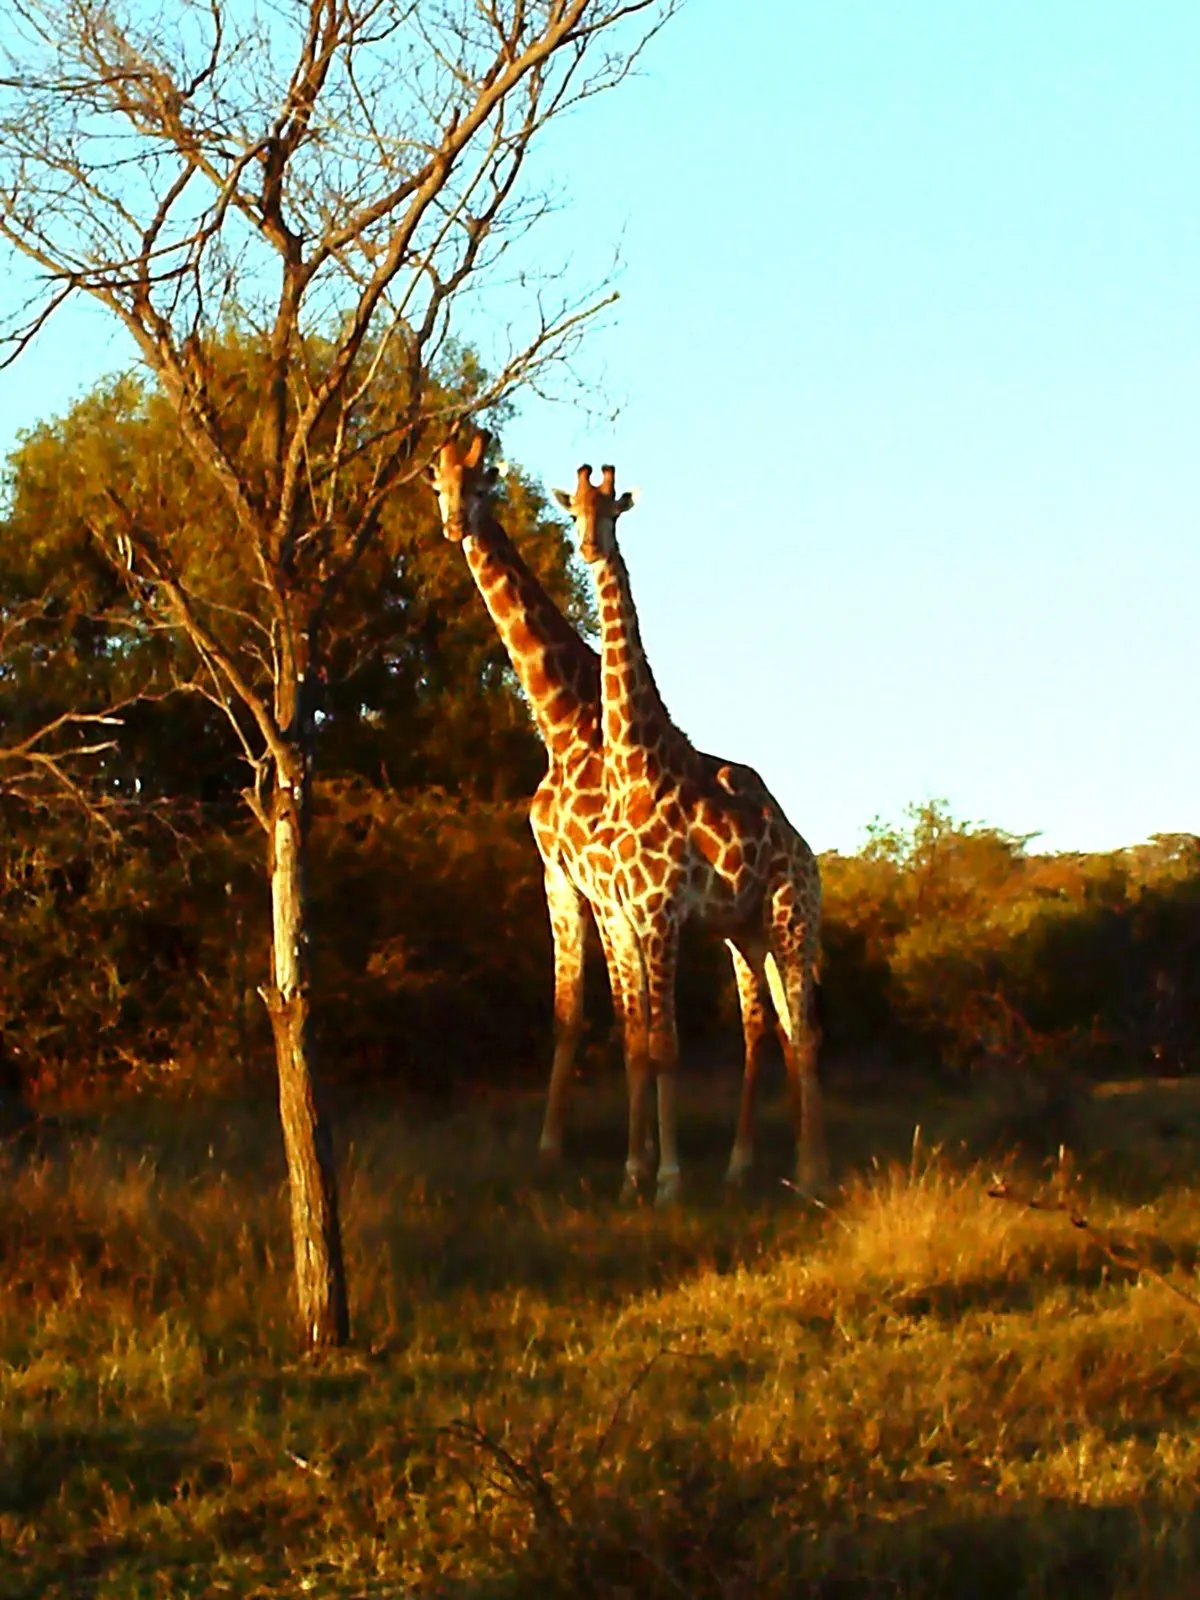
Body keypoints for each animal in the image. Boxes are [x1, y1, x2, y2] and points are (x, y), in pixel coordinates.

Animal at [428, 432, 784, 1196]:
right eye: (439, 484)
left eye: (480, 483)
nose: (454, 525)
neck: (564, 724)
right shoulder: (565, 876)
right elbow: (593, 1019)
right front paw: (585, 1154)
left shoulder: (590, 882)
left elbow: (608, 1021)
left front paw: (582, 1154)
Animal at [553, 464, 825, 1203]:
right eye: (572, 512)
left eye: (613, 510)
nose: (588, 549)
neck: (634, 769)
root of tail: (810, 858)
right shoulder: (628, 918)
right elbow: (642, 1043)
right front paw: (633, 1177)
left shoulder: (659, 914)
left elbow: (666, 1045)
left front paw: (669, 1180)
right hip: (750, 935)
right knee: (779, 1028)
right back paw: (763, 1167)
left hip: (793, 923)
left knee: (804, 1030)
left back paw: (807, 1169)